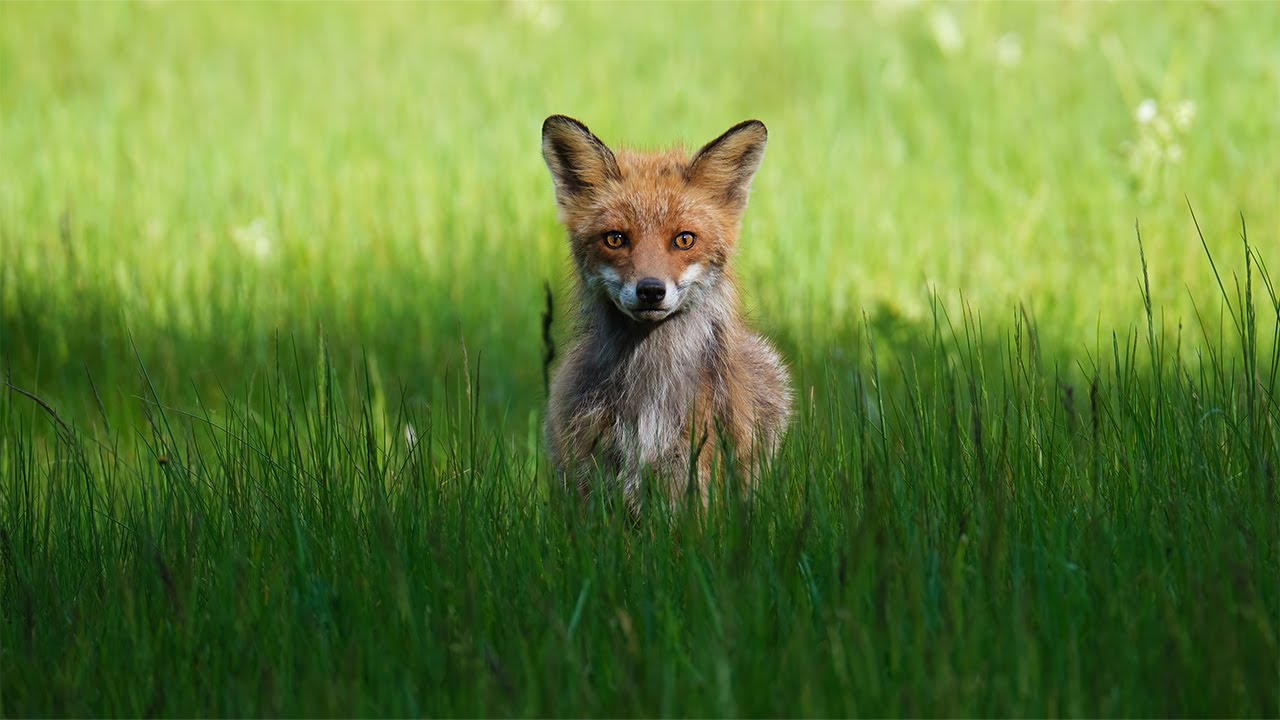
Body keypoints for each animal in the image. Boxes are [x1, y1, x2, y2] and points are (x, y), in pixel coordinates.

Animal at [541, 115, 793, 509]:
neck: (648, 387)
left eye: (684, 239)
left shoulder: (689, 467)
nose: (650, 290)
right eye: (615, 239)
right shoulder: (591, 472)